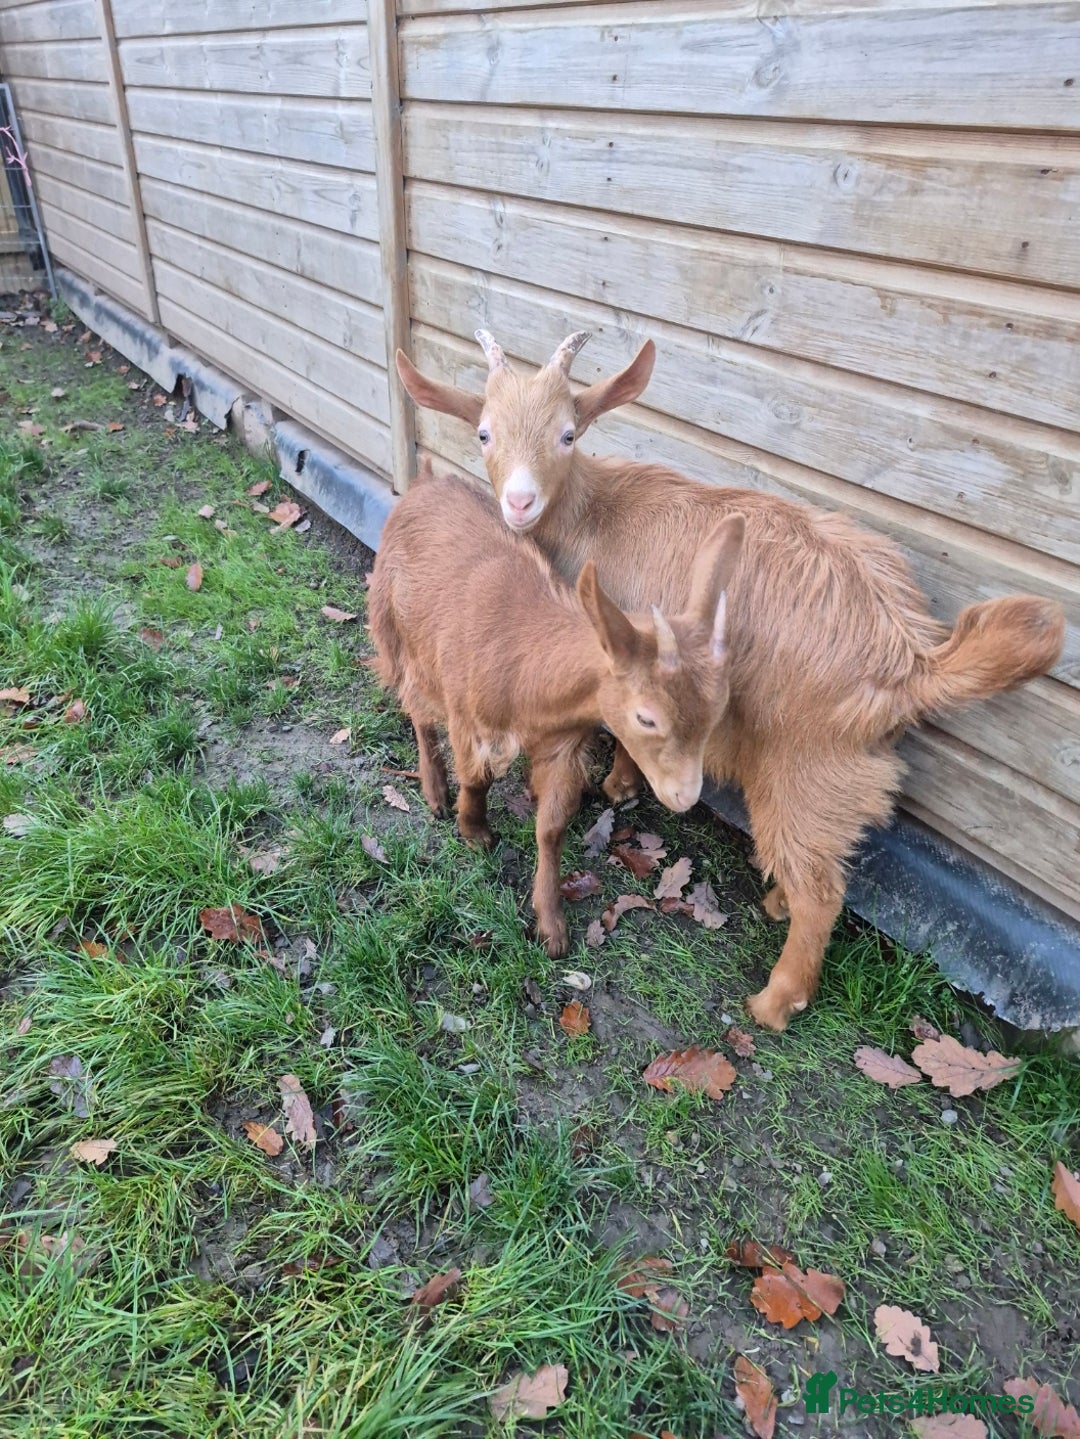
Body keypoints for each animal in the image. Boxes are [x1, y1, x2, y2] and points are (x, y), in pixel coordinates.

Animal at [368, 462, 745, 958]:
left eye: (716, 714)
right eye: (646, 717)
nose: (684, 796)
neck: (529, 667)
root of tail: (426, 480)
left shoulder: (563, 745)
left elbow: (551, 826)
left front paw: (551, 925)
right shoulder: (470, 718)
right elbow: (477, 777)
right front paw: (474, 831)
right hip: (395, 626)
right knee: (415, 705)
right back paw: (434, 791)